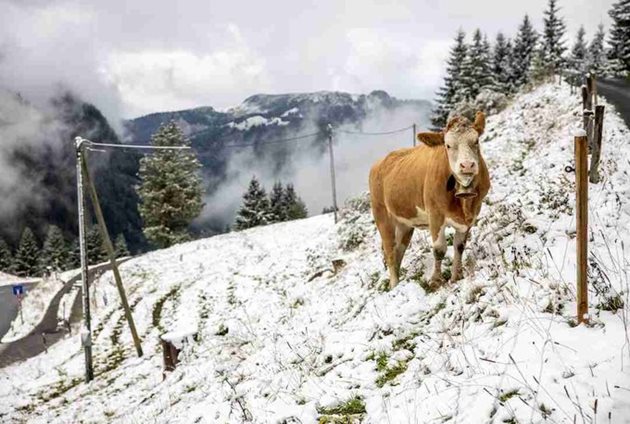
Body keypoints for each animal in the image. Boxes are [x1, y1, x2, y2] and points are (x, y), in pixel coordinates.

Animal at [370, 111, 494, 290]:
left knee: (399, 250)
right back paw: (394, 286)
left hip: (405, 223)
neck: (463, 203)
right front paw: (436, 281)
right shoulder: (435, 214)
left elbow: (459, 246)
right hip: (382, 217)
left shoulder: (472, 215)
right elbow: (439, 249)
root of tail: (381, 161)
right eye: (448, 145)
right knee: (390, 251)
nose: (467, 165)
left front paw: (456, 276)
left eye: (476, 141)